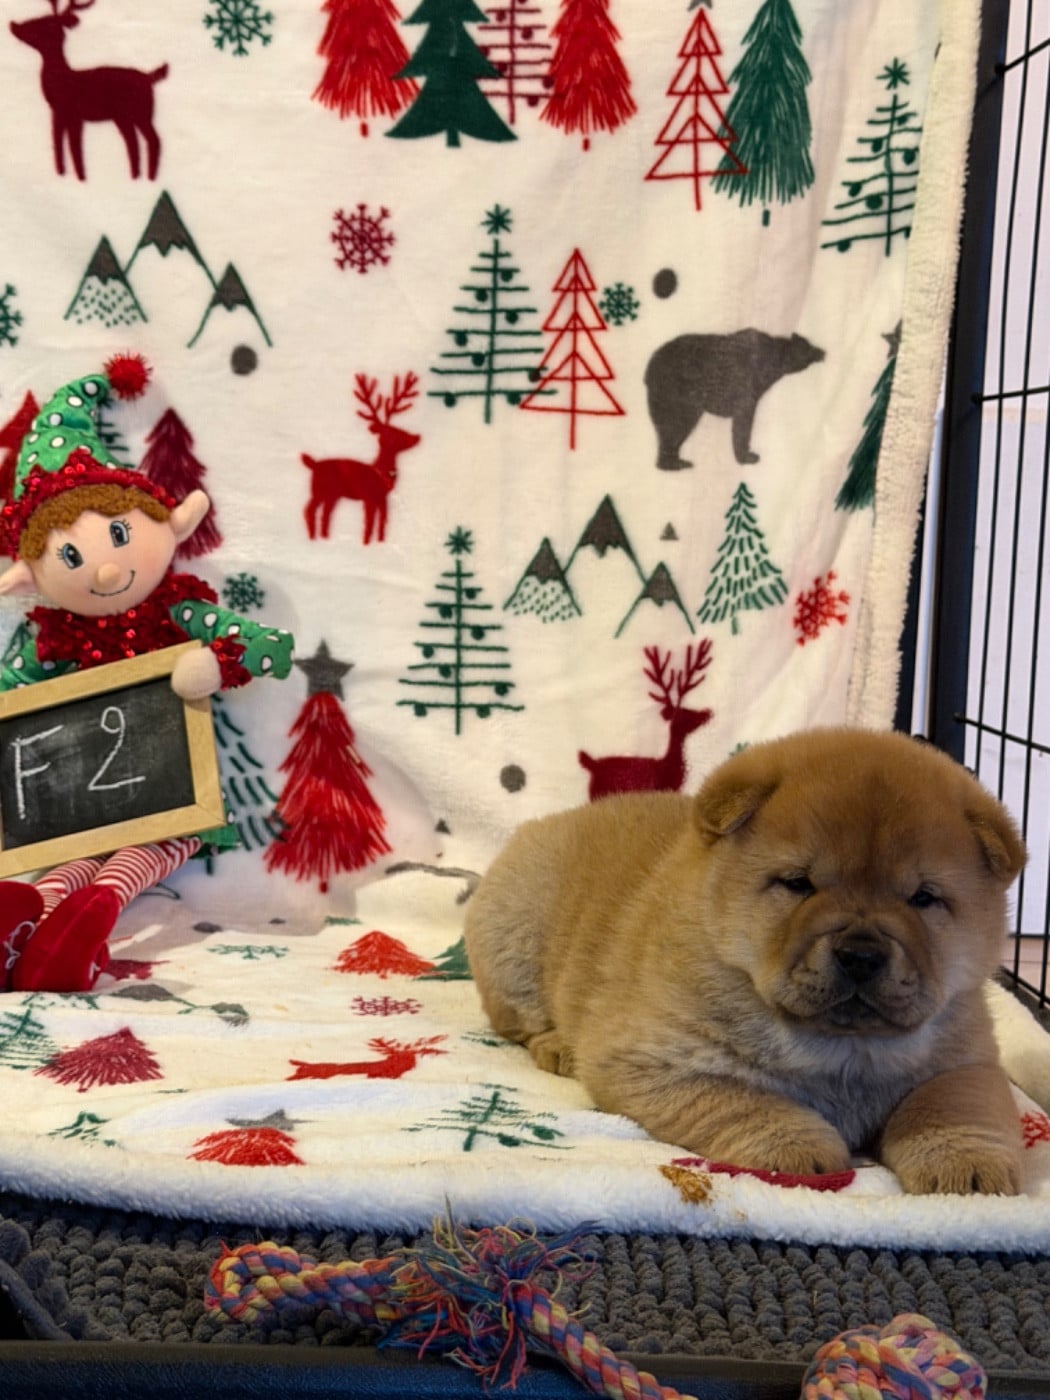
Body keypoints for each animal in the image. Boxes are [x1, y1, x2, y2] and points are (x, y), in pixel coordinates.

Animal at [11, 0, 168, 181]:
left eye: (44, 22)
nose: (13, 25)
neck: (62, 81)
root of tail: (149, 77)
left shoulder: (75, 114)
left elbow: (75, 148)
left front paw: (81, 177)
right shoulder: (57, 112)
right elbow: (58, 143)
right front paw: (62, 173)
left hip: (142, 112)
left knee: (153, 140)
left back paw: (149, 178)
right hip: (123, 117)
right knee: (133, 143)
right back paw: (136, 176)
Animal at [301, 372, 421, 543]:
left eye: (398, 429)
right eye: (395, 433)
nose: (416, 437)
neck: (381, 474)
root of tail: (314, 464)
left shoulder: (382, 499)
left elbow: (382, 520)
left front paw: (379, 540)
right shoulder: (369, 498)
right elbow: (369, 522)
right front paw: (366, 541)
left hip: (332, 495)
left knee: (325, 513)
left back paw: (324, 537)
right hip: (319, 490)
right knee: (309, 510)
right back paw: (313, 537)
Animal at [463, 728, 1027, 1195]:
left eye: (922, 898)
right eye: (799, 883)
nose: (861, 954)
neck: (843, 1051)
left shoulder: (967, 1057)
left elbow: (952, 1103)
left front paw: (966, 1164)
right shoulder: (652, 1061)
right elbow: (744, 1100)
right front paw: (798, 1147)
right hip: (515, 937)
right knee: (520, 1020)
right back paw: (559, 1047)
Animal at [643, 329, 826, 470]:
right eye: (809, 348)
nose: (823, 352)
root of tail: (648, 370)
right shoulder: (746, 390)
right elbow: (742, 424)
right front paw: (747, 456)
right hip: (676, 393)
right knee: (676, 425)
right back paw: (675, 463)